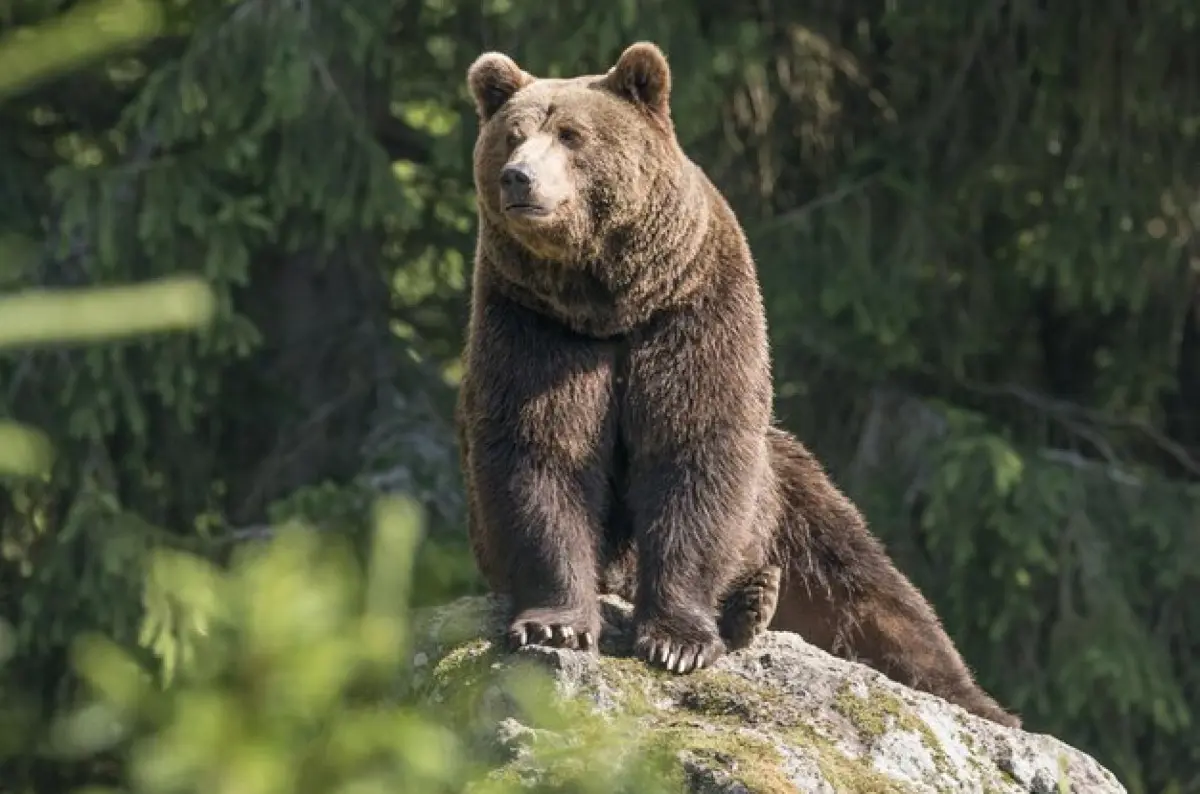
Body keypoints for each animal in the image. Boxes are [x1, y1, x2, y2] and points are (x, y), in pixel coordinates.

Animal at [458, 40, 1022, 729]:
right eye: (512, 135)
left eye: (571, 135)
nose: (519, 177)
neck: (609, 302)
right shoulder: (536, 328)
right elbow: (541, 452)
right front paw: (556, 625)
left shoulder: (694, 312)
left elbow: (696, 451)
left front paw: (676, 640)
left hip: (790, 486)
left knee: (867, 586)